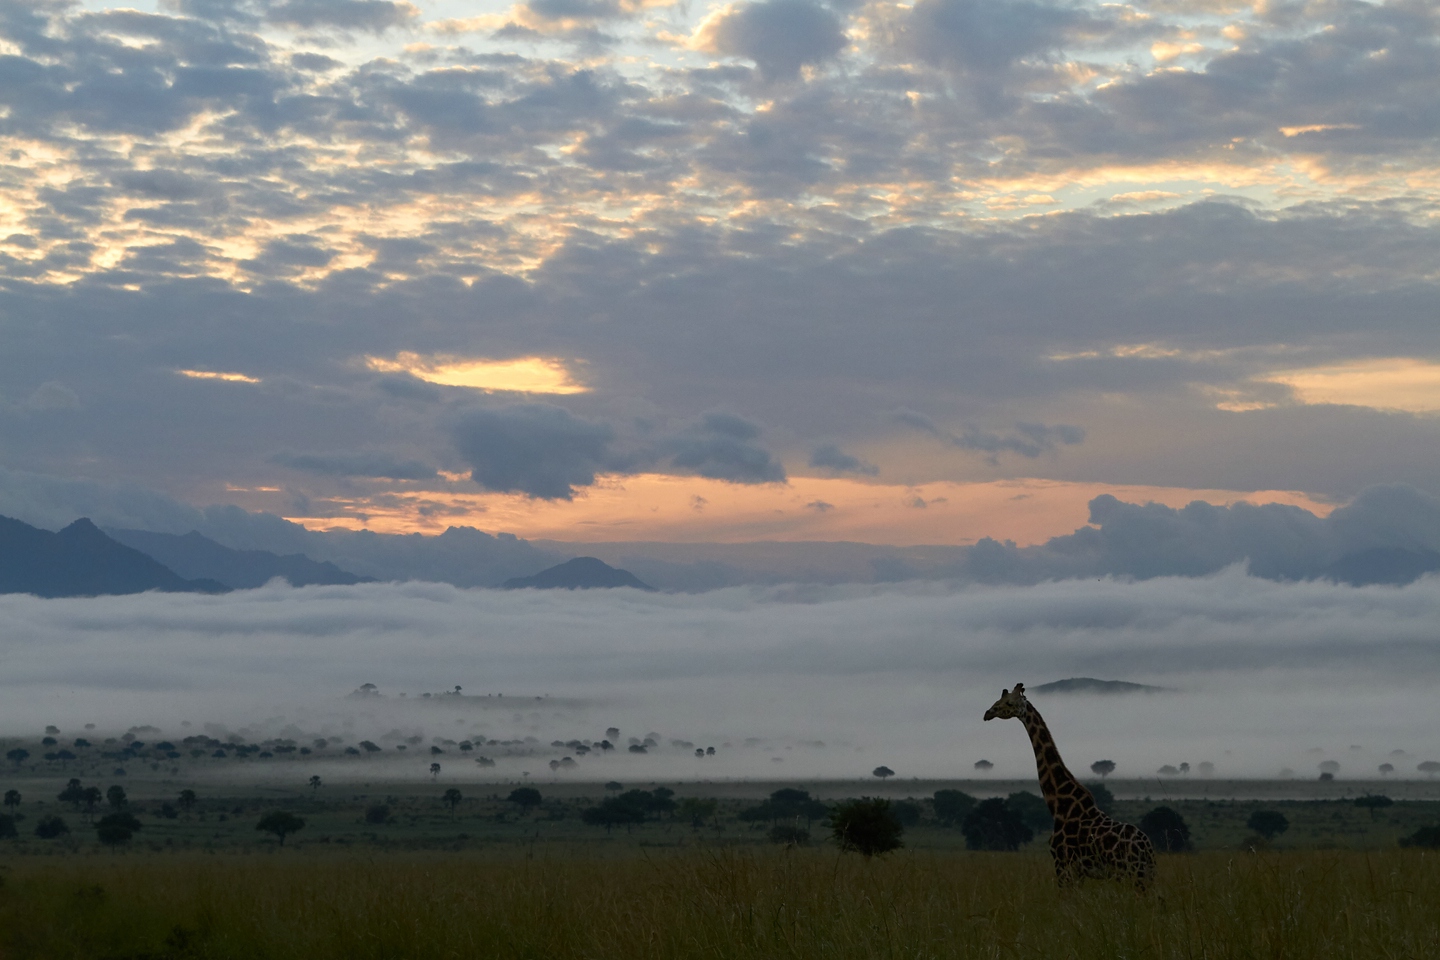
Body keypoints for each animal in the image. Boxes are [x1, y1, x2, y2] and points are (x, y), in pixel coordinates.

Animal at [984, 682, 1152, 892]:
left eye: (1009, 702)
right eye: (998, 699)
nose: (988, 713)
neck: (1059, 804)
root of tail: (1148, 847)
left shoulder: (1062, 862)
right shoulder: (1076, 870)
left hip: (1133, 872)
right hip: (1143, 874)